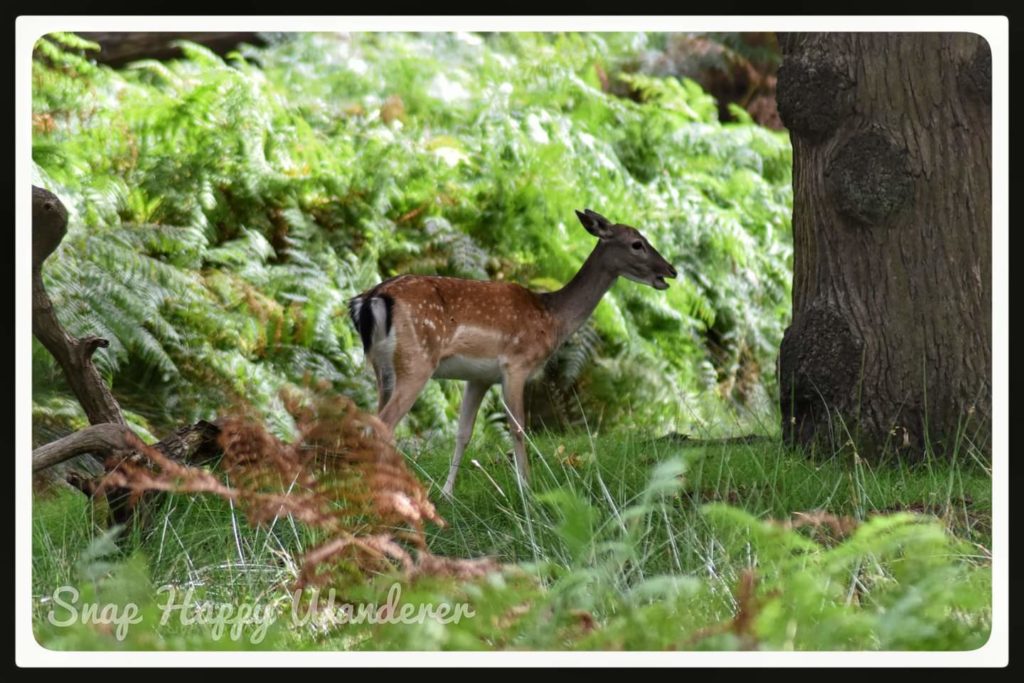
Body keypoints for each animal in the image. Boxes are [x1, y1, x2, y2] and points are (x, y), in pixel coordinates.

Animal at [348, 205, 675, 499]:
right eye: (637, 243)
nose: (670, 270)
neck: (552, 319)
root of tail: (370, 299)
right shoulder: (517, 364)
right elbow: (518, 429)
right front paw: (527, 492)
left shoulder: (479, 378)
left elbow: (463, 433)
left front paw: (446, 494)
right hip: (416, 360)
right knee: (384, 424)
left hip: (382, 367)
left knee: (371, 421)